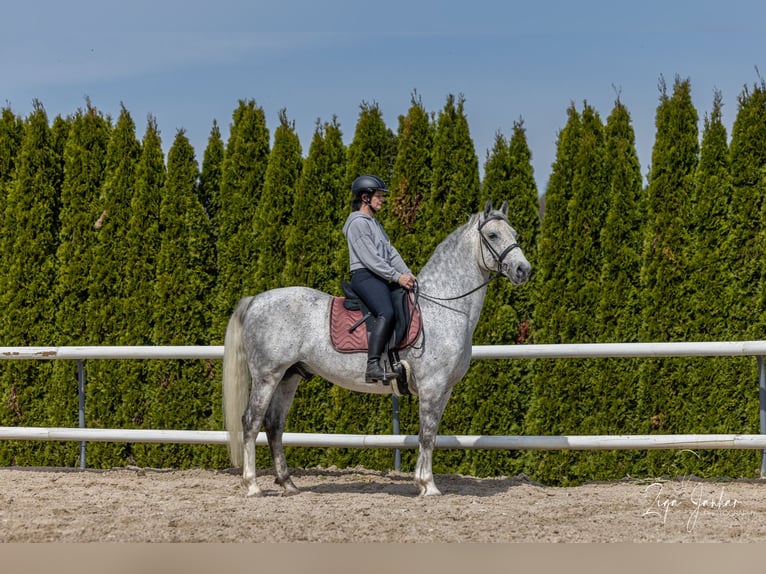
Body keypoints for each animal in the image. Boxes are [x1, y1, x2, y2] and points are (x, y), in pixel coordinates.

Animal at [225, 200, 532, 498]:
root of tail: (256, 300)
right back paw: (252, 486)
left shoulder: (444, 389)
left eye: (515, 234)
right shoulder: (432, 386)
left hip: (289, 376)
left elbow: (430, 434)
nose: (523, 270)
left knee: (274, 425)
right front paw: (428, 486)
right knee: (251, 422)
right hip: (267, 376)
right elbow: (427, 435)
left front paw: (423, 483)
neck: (443, 306)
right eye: (492, 235)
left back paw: (288, 484)